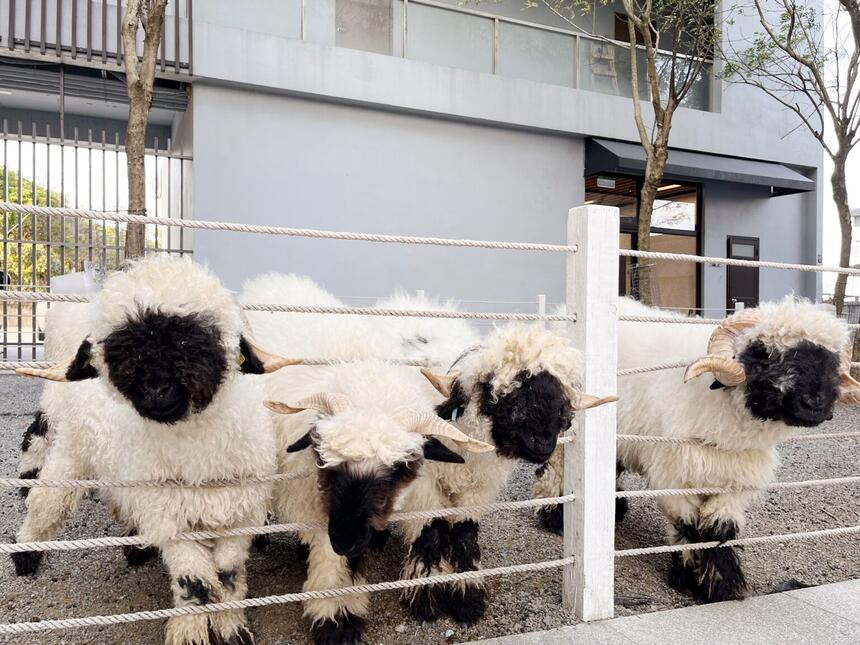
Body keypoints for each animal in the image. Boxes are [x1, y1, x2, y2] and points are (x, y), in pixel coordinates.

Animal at [9, 255, 298, 644]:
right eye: (121, 347)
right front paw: (190, 631)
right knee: (44, 505)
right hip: (72, 453)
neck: (196, 458)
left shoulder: (242, 513)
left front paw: (231, 628)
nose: (156, 389)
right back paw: (25, 554)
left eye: (195, 339)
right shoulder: (168, 516)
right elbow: (195, 582)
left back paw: (134, 544)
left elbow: (227, 577)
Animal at [532, 296, 860, 604]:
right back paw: (554, 515)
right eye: (764, 353)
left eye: (832, 361)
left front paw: (721, 584)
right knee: (557, 466)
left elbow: (718, 531)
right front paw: (689, 578)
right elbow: (688, 526)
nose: (815, 403)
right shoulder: (674, 477)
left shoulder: (734, 484)